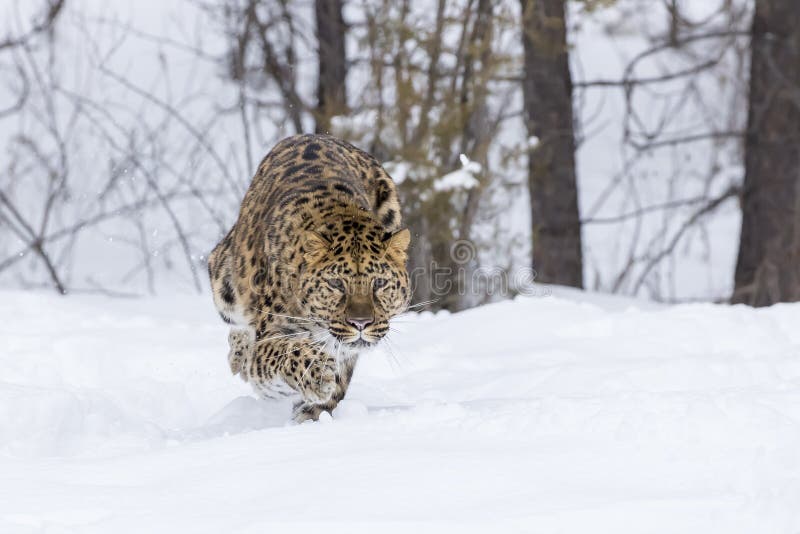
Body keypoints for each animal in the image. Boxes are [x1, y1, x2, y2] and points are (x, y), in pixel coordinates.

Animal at [207, 134, 411, 422]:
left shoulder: (346, 349)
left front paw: (315, 410)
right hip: (224, 276)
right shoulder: (266, 340)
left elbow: (340, 377)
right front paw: (316, 373)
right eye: (336, 284)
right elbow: (285, 350)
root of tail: (313, 134)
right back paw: (239, 357)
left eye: (380, 283)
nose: (361, 323)